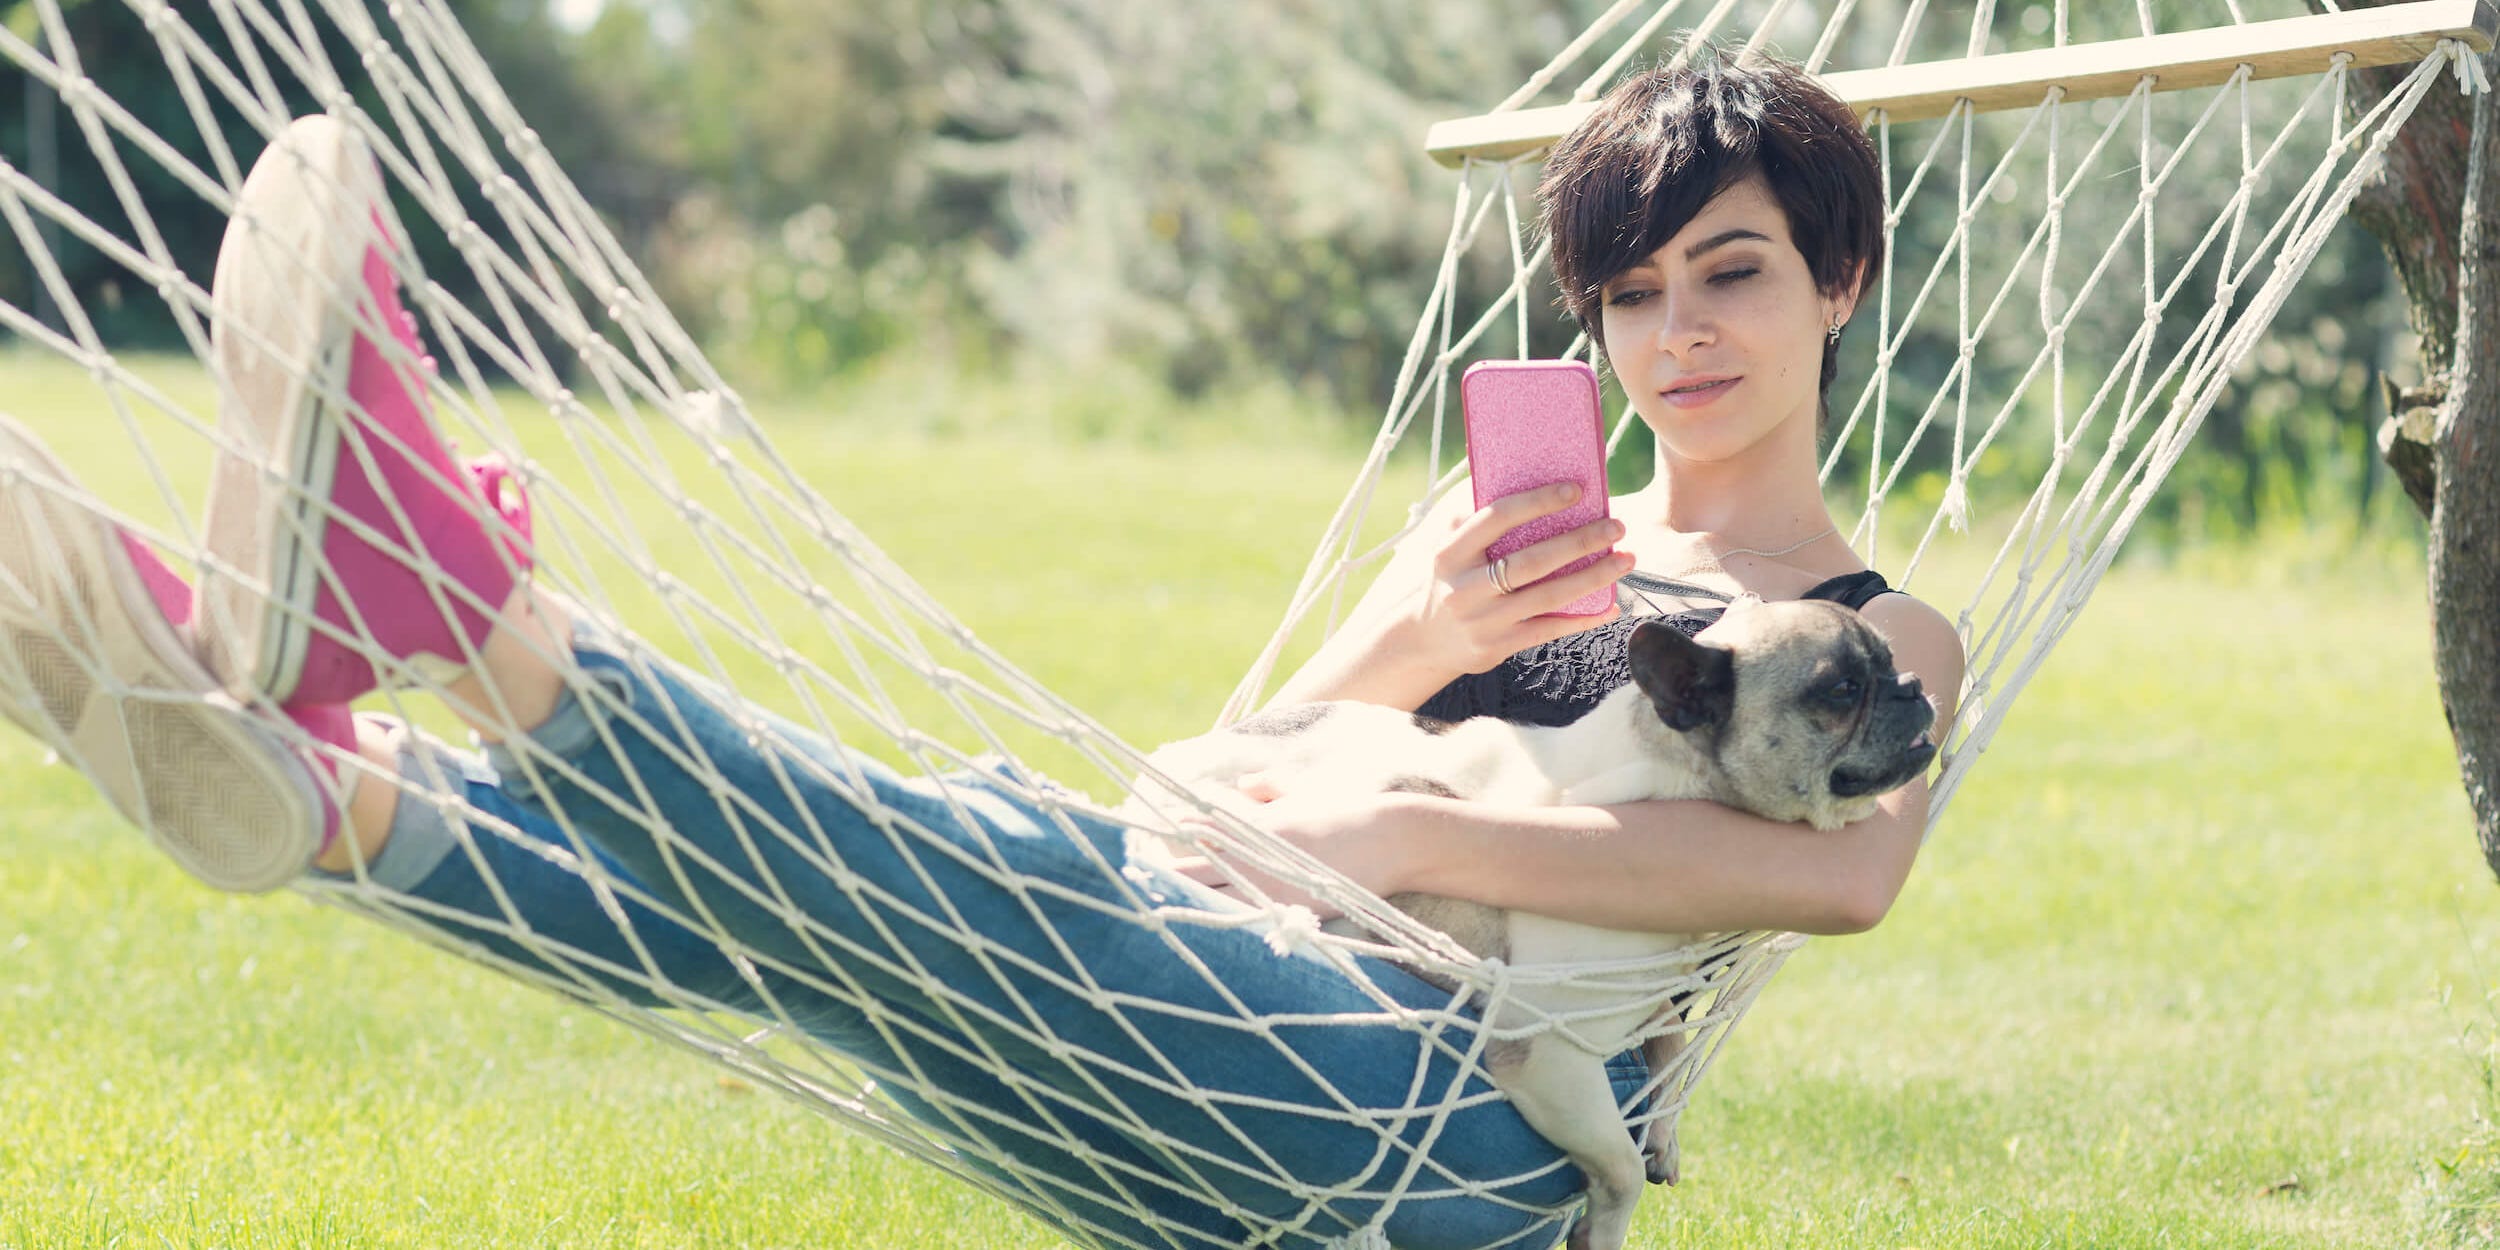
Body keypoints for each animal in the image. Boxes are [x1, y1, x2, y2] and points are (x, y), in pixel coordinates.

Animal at [1130, 595, 1930, 1250]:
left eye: (1892, 663)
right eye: (1840, 690)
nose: (1916, 687)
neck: (1658, 778)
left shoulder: (1655, 996)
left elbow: (1669, 1048)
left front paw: (1665, 1131)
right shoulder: (1551, 1059)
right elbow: (1619, 1167)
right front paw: (1605, 1224)